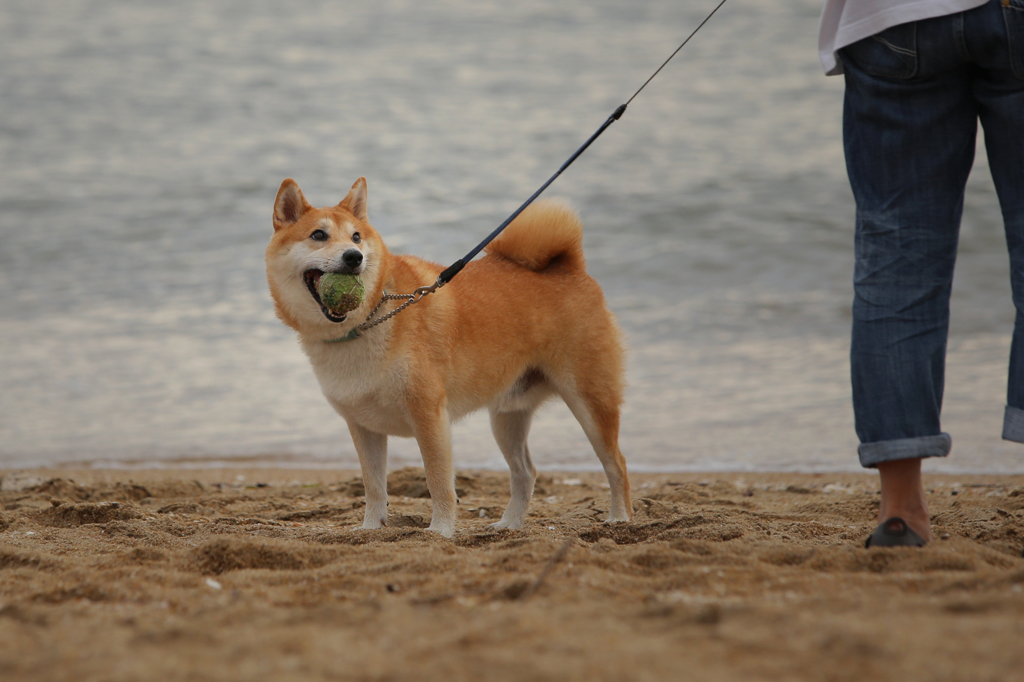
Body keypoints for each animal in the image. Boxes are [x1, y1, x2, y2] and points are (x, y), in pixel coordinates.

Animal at [266, 176, 630, 536]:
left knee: (616, 465)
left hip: (590, 400)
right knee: (526, 472)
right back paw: (509, 525)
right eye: (318, 235)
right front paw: (371, 529)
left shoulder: (429, 415)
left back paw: (619, 519)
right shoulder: (362, 426)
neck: (369, 320)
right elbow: (374, 486)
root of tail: (570, 267)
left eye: (356, 236)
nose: (354, 256)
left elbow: (438, 481)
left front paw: (439, 531)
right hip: (508, 415)